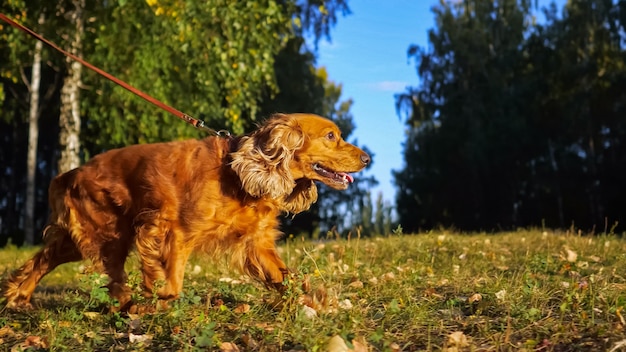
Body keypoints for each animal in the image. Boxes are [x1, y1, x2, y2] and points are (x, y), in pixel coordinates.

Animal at [2, 113, 368, 310]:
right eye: (331, 136)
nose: (367, 158)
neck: (239, 175)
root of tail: (72, 172)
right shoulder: (174, 231)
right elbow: (173, 279)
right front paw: (162, 302)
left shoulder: (257, 244)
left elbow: (286, 277)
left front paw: (319, 301)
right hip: (110, 231)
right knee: (114, 274)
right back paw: (129, 305)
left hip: (88, 237)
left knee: (43, 259)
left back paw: (18, 294)